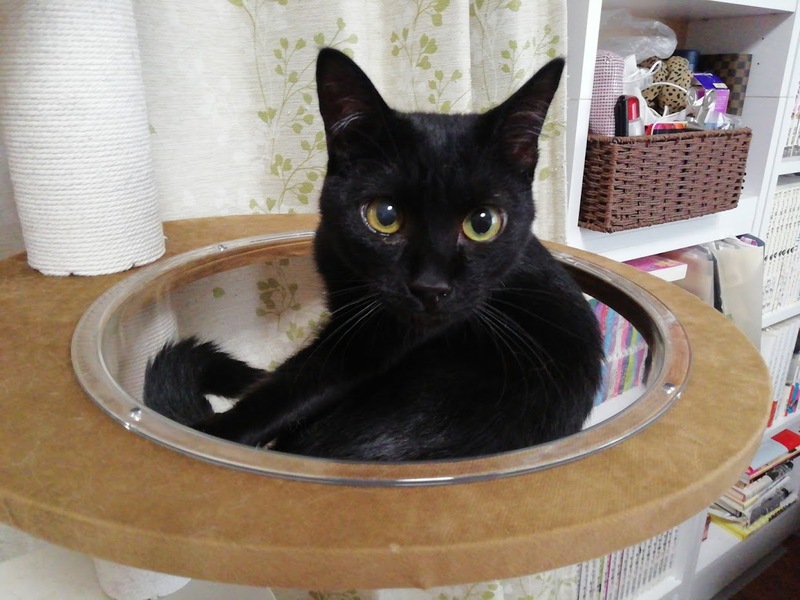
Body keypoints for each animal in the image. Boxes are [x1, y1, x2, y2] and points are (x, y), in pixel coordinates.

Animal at [143, 48, 603, 461]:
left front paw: (208, 433)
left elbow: (294, 387)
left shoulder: (366, 341)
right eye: (384, 216)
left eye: (483, 222)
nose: (431, 287)